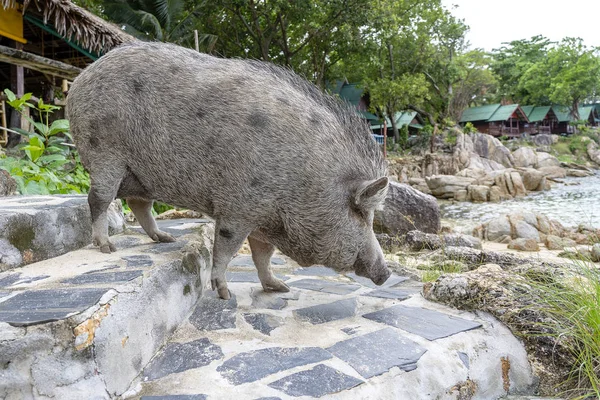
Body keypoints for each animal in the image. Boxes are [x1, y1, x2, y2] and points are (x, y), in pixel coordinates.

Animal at [68, 43, 392, 300]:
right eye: (361, 213)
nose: (386, 273)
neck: (307, 179)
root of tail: (78, 82)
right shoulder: (238, 207)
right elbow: (226, 248)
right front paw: (225, 295)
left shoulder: (264, 220)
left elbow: (263, 256)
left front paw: (280, 288)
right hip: (104, 152)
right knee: (98, 199)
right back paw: (107, 247)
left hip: (139, 175)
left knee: (138, 203)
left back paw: (165, 239)